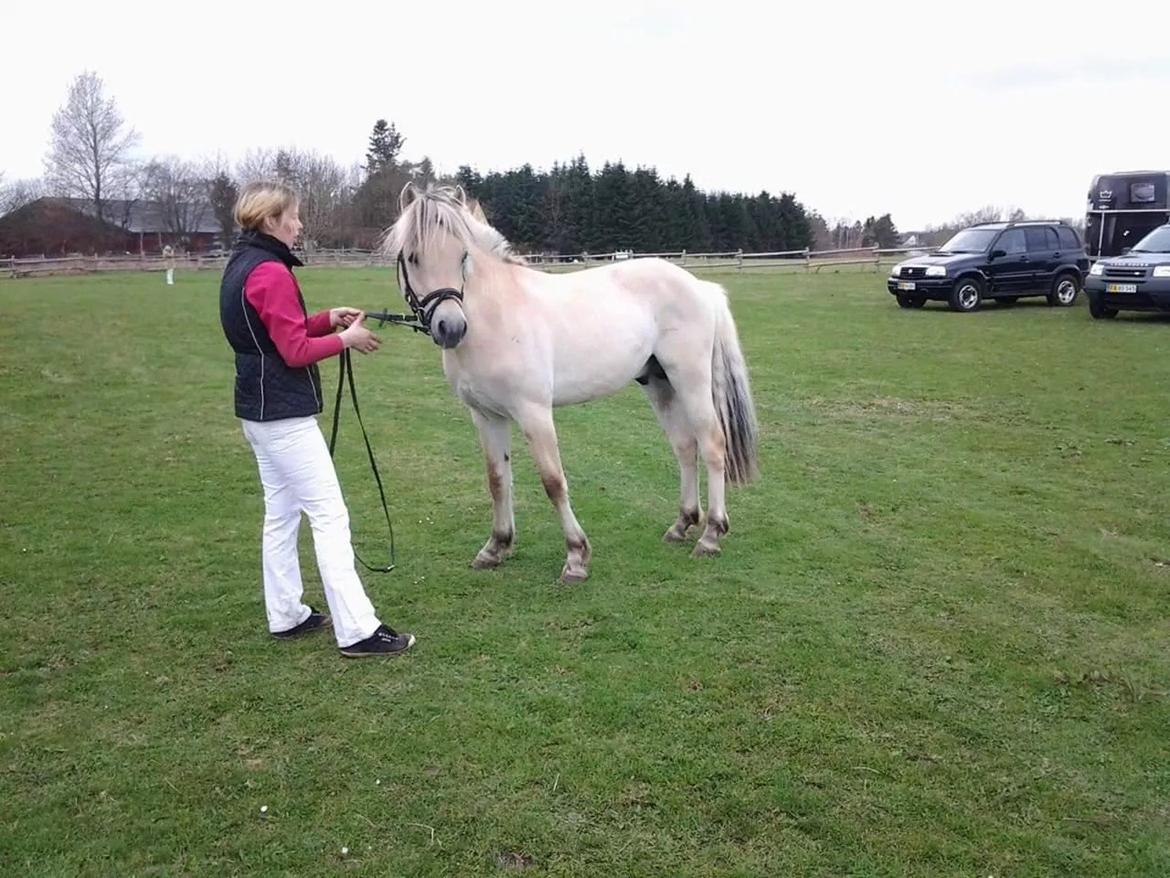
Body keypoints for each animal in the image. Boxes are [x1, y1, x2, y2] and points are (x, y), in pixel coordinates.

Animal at [383, 184, 758, 585]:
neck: (496, 316)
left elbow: (553, 481)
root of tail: (700, 286)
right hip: (659, 384)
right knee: (685, 447)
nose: (451, 328)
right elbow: (497, 479)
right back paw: (681, 525)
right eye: (413, 257)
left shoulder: (533, 413)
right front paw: (496, 547)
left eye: (463, 256)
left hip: (690, 380)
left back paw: (711, 535)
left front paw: (576, 557)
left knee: (712, 444)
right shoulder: (485, 415)